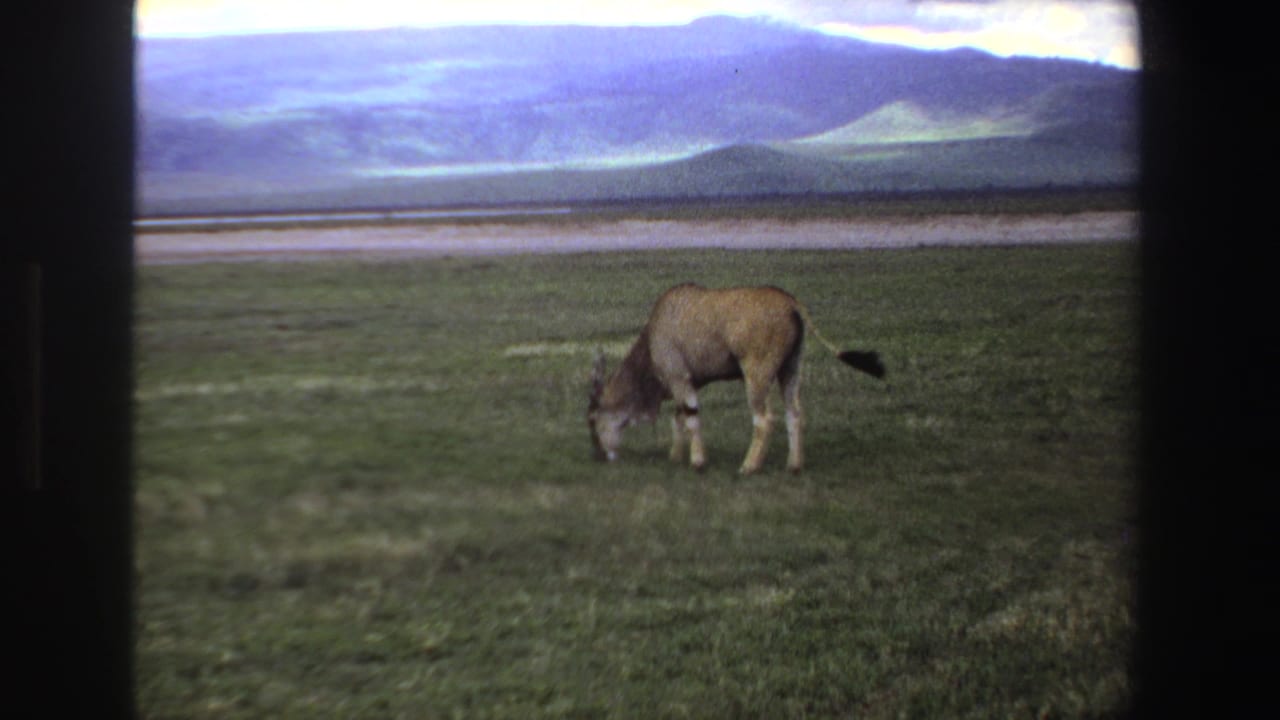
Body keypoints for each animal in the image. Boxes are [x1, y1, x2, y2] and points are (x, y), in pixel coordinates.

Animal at [588, 283, 884, 474]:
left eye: (592, 419)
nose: (599, 455)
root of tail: (790, 302)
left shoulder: (679, 378)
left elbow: (690, 418)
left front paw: (697, 462)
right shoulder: (688, 383)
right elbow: (679, 417)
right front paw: (675, 457)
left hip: (756, 375)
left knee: (764, 419)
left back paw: (748, 467)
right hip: (790, 370)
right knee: (795, 413)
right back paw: (794, 466)